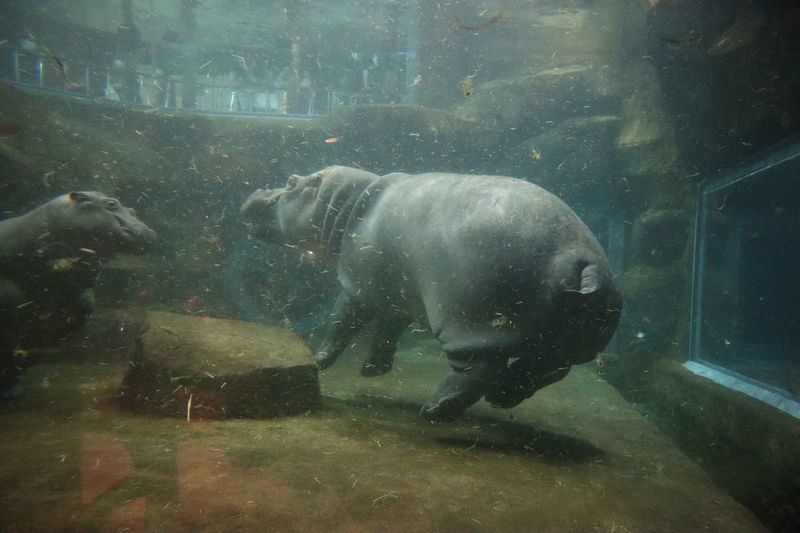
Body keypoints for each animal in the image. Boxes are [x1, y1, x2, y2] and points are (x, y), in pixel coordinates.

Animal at [240, 166, 621, 421]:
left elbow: (342, 321)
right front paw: (372, 369)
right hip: (571, 343)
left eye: (292, 182)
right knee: (547, 369)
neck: (347, 207)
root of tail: (579, 258)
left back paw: (434, 410)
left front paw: (319, 359)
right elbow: (387, 331)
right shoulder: (396, 297)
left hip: (472, 323)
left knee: (480, 370)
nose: (255, 193)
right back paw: (501, 398)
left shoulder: (357, 285)